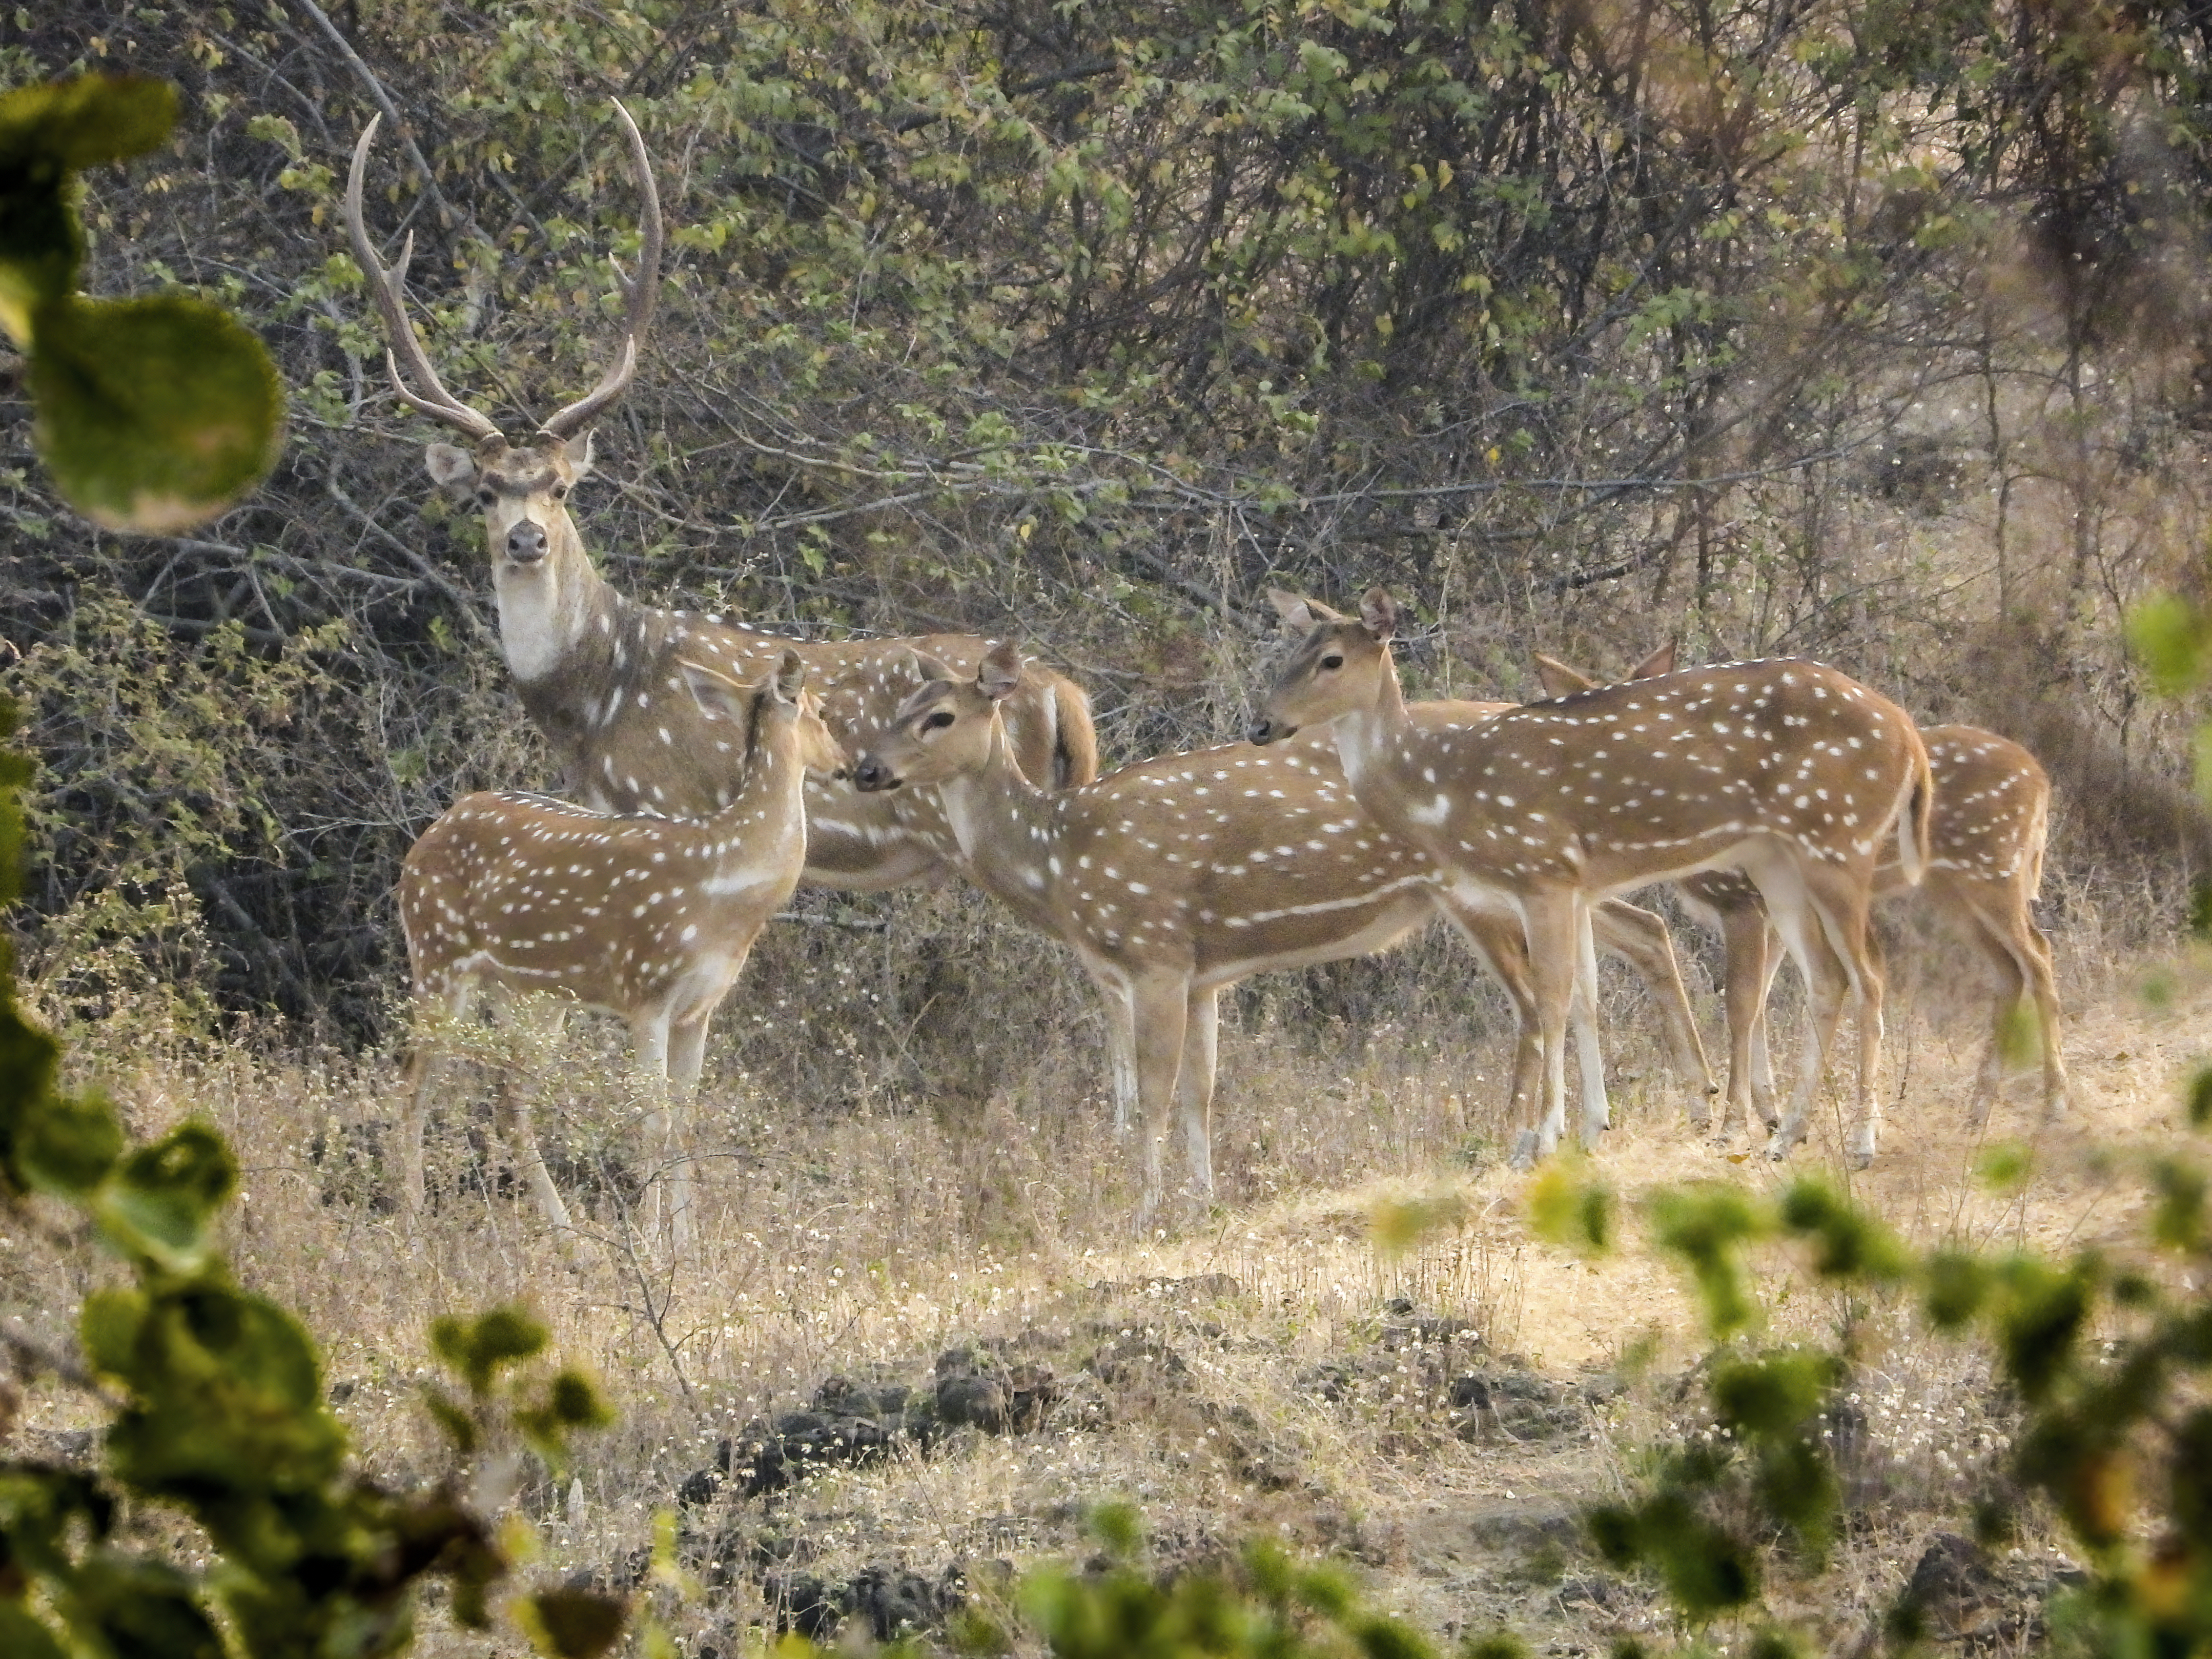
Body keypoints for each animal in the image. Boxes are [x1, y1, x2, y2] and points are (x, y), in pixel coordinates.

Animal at [345, 104, 1098, 895]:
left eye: (559, 486)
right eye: (486, 492)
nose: (527, 540)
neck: (595, 701)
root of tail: (1065, 696)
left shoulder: (670, 801)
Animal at [398, 652, 846, 1251]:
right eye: (821, 711)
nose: (846, 766)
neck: (726, 887)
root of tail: (419, 846)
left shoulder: (698, 1009)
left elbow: (685, 1123)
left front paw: (689, 1248)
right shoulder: (646, 990)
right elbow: (653, 1120)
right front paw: (653, 1246)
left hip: (531, 994)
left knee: (509, 1103)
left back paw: (572, 1241)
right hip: (437, 955)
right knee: (415, 1089)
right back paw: (413, 1231)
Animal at [849, 644, 1715, 1227]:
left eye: (939, 716)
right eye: (894, 711)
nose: (862, 770)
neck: (1060, 864)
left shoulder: (1156, 950)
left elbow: (1157, 1092)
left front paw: (1143, 1211)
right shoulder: (1203, 971)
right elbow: (1201, 1089)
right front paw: (1202, 1202)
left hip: (1489, 889)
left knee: (1550, 994)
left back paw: (1546, 1137)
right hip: (1542, 883)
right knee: (1617, 949)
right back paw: (1633, 1116)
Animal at [1252, 589, 1934, 1171]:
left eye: (1332, 660)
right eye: (1287, 654)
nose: (1260, 725)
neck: (1444, 794)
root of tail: (1907, 735)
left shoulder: (1542, 872)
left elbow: (1551, 999)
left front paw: (1537, 1140)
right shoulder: (1573, 884)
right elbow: (1586, 997)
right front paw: (1588, 1131)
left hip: (1837, 839)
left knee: (1869, 974)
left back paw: (1860, 1144)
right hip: (1777, 858)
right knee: (1824, 978)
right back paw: (1785, 1137)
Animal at [1533, 644, 2070, 1136]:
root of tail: (2042, 779)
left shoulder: (1742, 899)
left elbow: (1743, 1003)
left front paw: (1736, 1122)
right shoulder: (1769, 910)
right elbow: (1766, 1000)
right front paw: (1770, 1114)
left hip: (1994, 869)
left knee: (2038, 954)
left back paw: (2053, 1107)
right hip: (1951, 889)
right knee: (2009, 968)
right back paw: (1978, 1115)